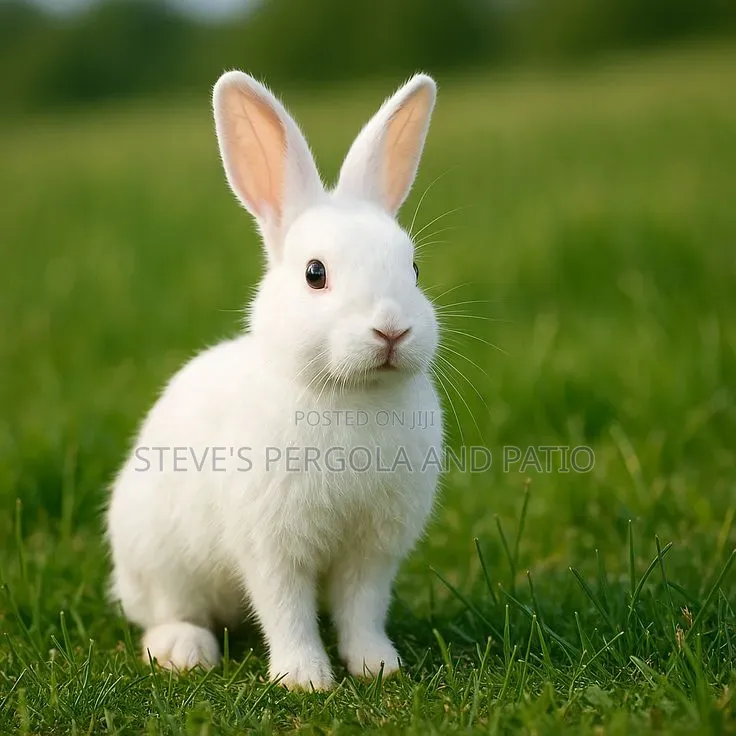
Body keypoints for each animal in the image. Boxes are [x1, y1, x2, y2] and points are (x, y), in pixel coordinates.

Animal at [106, 69, 443, 691]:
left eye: (413, 268)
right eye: (315, 273)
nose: (391, 329)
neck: (349, 393)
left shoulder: (372, 552)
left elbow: (362, 609)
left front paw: (377, 667)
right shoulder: (272, 547)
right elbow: (287, 612)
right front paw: (305, 680)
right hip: (159, 559)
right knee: (167, 613)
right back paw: (185, 651)